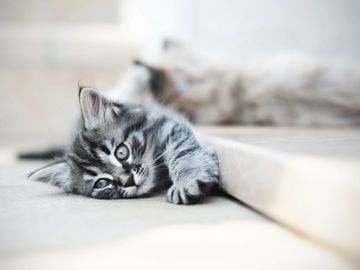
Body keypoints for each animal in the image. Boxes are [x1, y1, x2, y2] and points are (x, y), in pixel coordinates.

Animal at [28, 87, 219, 204]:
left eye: (121, 152)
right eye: (101, 183)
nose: (128, 181)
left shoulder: (170, 127)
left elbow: (183, 153)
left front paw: (186, 182)